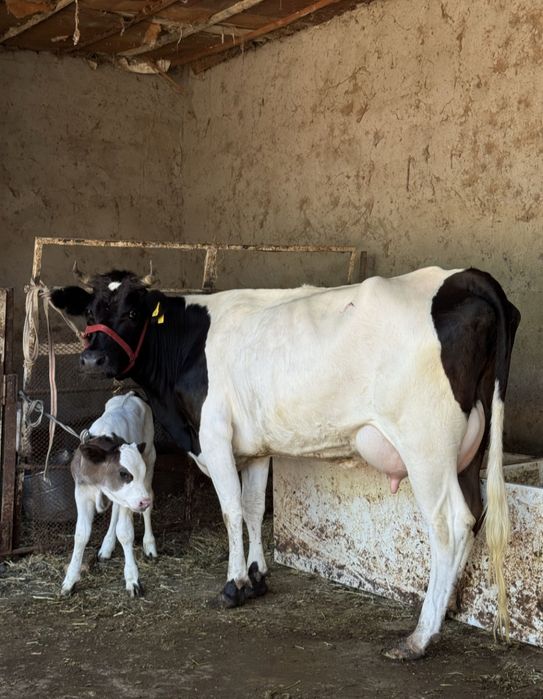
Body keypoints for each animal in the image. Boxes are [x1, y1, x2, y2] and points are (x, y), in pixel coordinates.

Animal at [61, 392, 157, 597]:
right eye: (124, 473)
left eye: (138, 473)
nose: (143, 501)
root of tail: (130, 394)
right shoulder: (81, 492)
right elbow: (81, 534)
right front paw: (70, 580)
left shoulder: (129, 498)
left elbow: (125, 532)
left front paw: (132, 579)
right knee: (114, 514)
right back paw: (107, 546)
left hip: (150, 458)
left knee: (146, 506)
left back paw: (149, 544)